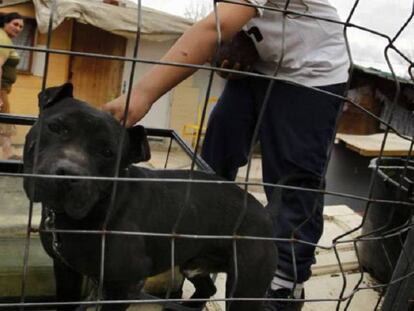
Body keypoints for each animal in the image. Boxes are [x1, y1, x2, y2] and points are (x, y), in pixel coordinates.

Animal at [21, 83, 274, 311]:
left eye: (108, 152)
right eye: (55, 127)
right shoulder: (66, 271)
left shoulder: (124, 285)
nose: (68, 173)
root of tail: (262, 211)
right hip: (193, 263)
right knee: (207, 288)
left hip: (244, 288)